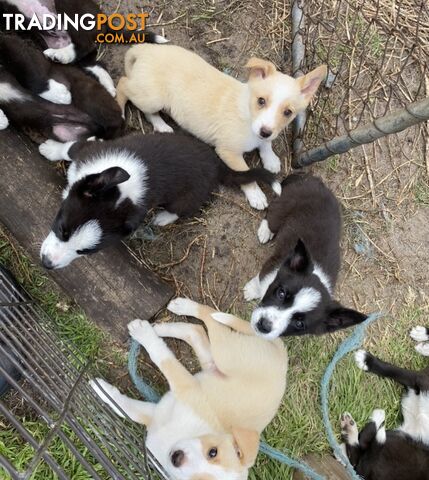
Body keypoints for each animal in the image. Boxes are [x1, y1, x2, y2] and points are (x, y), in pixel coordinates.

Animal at [37, 134, 278, 270]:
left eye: (84, 252)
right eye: (62, 229)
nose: (47, 264)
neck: (124, 189)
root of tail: (218, 165)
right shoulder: (87, 153)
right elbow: (70, 148)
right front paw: (50, 149)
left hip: (186, 197)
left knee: (182, 210)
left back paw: (163, 218)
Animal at [90, 298, 286, 478]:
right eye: (213, 452)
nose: (177, 458)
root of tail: (283, 359)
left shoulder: (158, 412)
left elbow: (128, 409)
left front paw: (102, 390)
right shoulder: (184, 388)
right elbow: (160, 356)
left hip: (215, 363)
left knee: (196, 331)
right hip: (226, 355)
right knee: (207, 321)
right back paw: (177, 312)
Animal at [115, 44, 326, 209]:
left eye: (288, 112)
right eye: (261, 101)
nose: (265, 132)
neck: (247, 114)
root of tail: (146, 49)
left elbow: (266, 144)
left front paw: (271, 158)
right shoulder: (228, 152)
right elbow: (246, 175)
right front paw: (256, 195)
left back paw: (161, 125)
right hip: (151, 97)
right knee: (124, 84)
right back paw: (120, 107)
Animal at [244, 173, 364, 338]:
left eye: (299, 324)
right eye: (281, 293)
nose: (264, 325)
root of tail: (313, 179)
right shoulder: (271, 264)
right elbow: (260, 279)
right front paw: (251, 291)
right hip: (283, 205)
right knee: (271, 216)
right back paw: (265, 231)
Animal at [338, 330, 428, 480]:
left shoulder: (419, 379)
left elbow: (397, 371)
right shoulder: (418, 380)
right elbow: (393, 370)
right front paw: (367, 361)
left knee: (359, 457)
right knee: (360, 455)